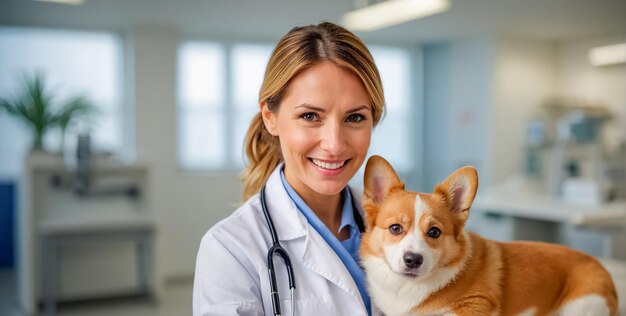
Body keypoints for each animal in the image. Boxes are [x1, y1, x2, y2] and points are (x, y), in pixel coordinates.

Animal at [358, 156, 616, 316]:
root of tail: (601, 266)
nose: (413, 260)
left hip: (582, 306)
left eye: (434, 232)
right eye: (395, 228)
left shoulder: (477, 304)